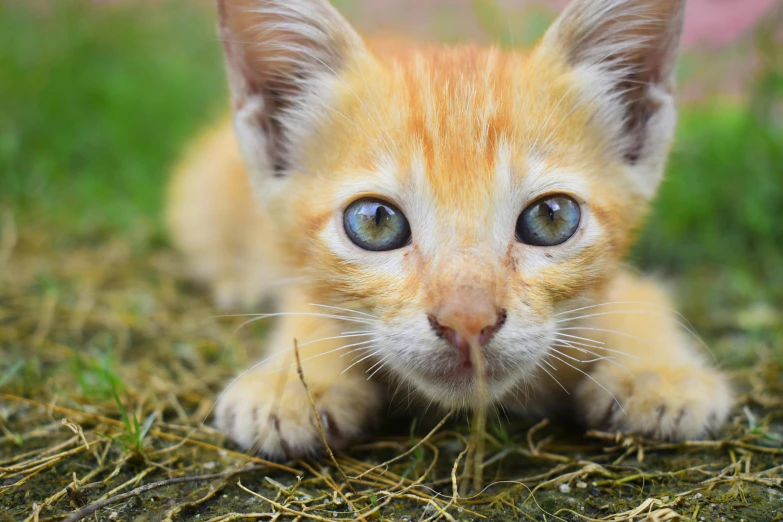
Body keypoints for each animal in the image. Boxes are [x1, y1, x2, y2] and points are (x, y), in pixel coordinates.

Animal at [167, 0, 736, 456]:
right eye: (375, 222)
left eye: (551, 217)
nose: (468, 321)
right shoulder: (305, 279)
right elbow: (309, 306)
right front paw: (291, 380)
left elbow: (643, 301)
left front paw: (661, 375)